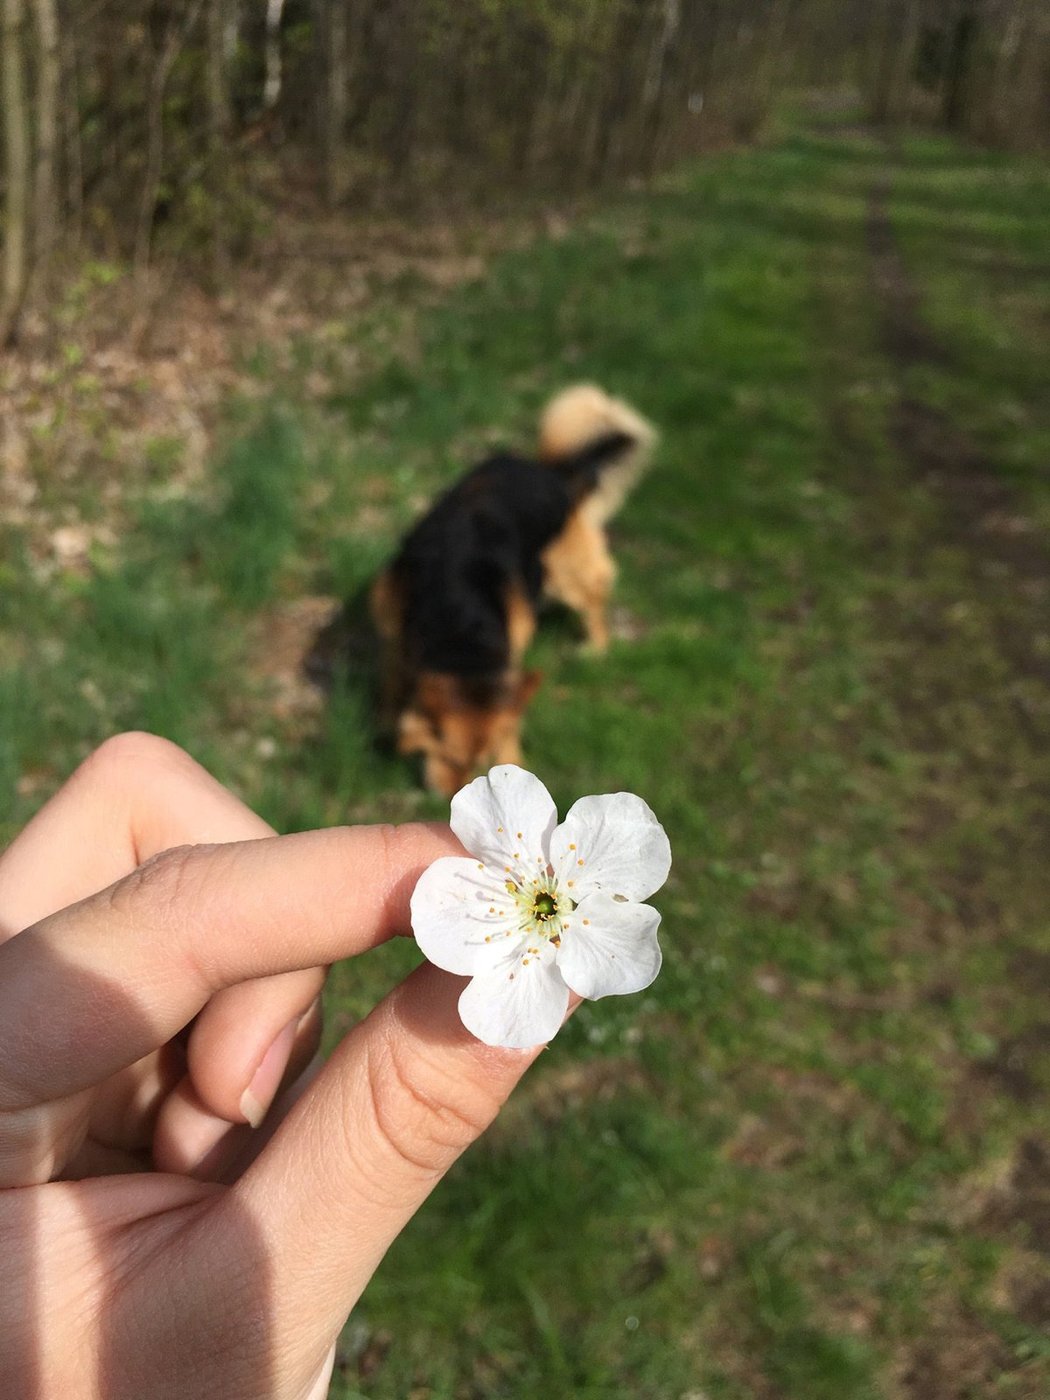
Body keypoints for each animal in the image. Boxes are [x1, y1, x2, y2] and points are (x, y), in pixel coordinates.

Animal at [372, 389, 658, 795]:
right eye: (451, 757)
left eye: (480, 761)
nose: (448, 797)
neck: (460, 617)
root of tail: (552, 472)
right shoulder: (392, 635)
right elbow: (392, 681)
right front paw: (384, 722)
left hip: (565, 573)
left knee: (594, 600)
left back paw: (596, 648)